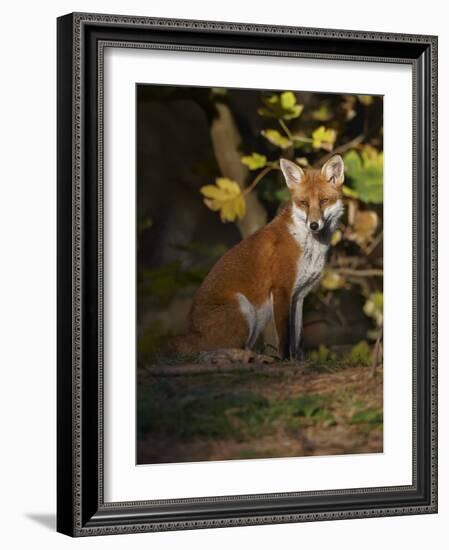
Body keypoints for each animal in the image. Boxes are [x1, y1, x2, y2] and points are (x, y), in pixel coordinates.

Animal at [172, 155, 344, 362]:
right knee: (214, 350)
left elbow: (298, 338)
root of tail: (191, 332)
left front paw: (298, 360)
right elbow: (284, 337)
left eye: (324, 200)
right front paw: (284, 360)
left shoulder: (299, 295)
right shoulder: (281, 289)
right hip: (244, 308)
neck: (308, 246)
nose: (313, 225)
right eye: (303, 203)